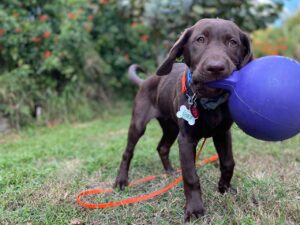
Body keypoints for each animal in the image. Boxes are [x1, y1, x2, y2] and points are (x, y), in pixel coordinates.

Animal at [113, 18, 252, 221]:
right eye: (200, 39)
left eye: (232, 42)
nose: (215, 67)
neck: (208, 102)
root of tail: (145, 81)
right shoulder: (186, 139)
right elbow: (191, 176)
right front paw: (194, 209)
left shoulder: (223, 133)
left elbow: (228, 163)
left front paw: (224, 188)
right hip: (139, 124)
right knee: (128, 152)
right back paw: (121, 181)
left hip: (171, 128)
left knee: (162, 147)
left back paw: (170, 172)